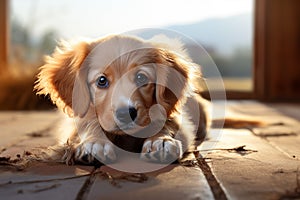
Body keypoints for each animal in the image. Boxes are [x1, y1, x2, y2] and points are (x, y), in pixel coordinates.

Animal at [34, 34, 209, 165]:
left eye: (141, 78)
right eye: (102, 81)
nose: (126, 113)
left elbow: (167, 123)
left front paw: (160, 141)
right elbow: (88, 124)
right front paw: (95, 143)